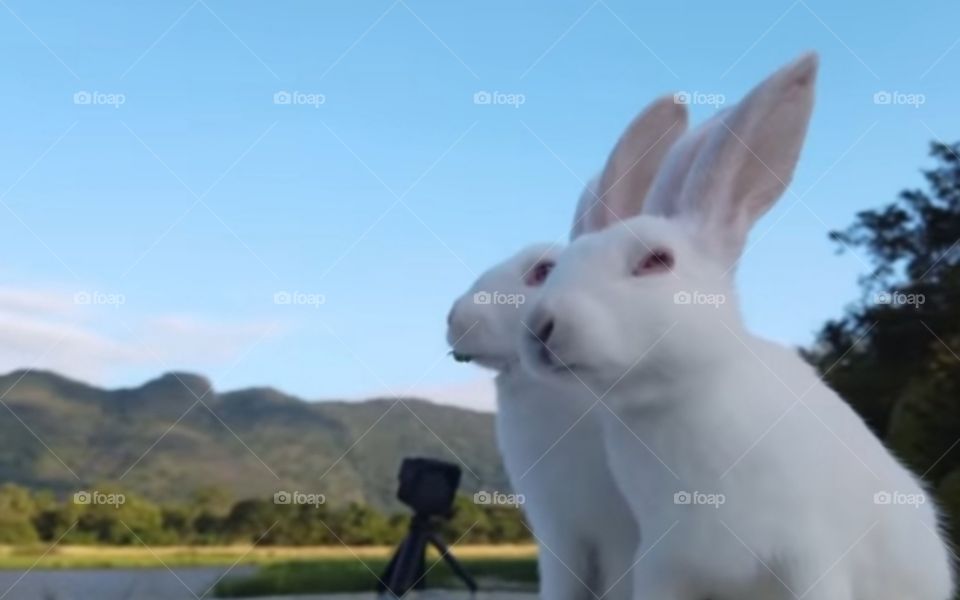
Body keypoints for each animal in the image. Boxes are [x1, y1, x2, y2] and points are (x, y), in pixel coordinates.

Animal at [519, 52, 955, 600]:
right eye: (558, 268)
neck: (675, 399)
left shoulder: (810, 558)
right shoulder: (661, 566)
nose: (540, 327)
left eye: (656, 261)